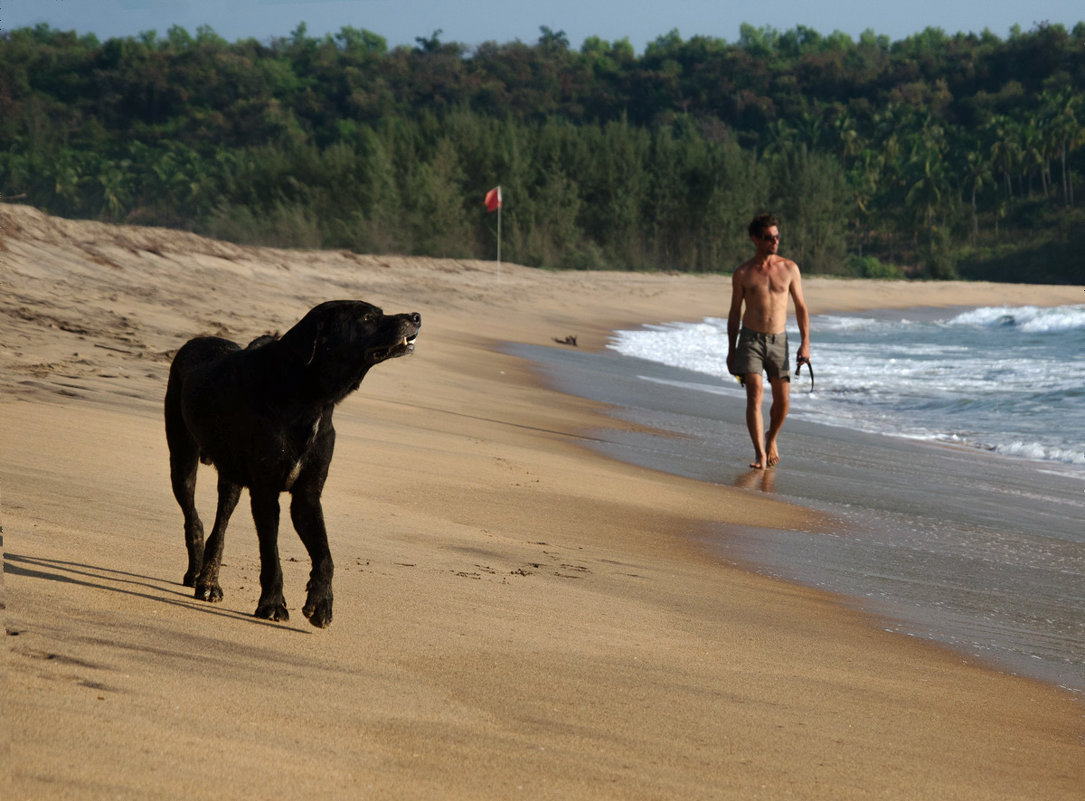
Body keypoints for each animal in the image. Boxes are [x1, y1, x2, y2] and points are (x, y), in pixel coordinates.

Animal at [163, 299, 418, 625]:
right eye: (366, 317)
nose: (416, 316)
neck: (310, 398)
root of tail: (193, 342)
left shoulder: (307, 496)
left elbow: (325, 555)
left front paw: (321, 603)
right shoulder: (265, 492)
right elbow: (271, 553)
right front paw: (272, 604)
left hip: (231, 478)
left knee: (220, 526)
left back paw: (208, 582)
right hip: (182, 457)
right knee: (193, 517)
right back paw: (198, 576)